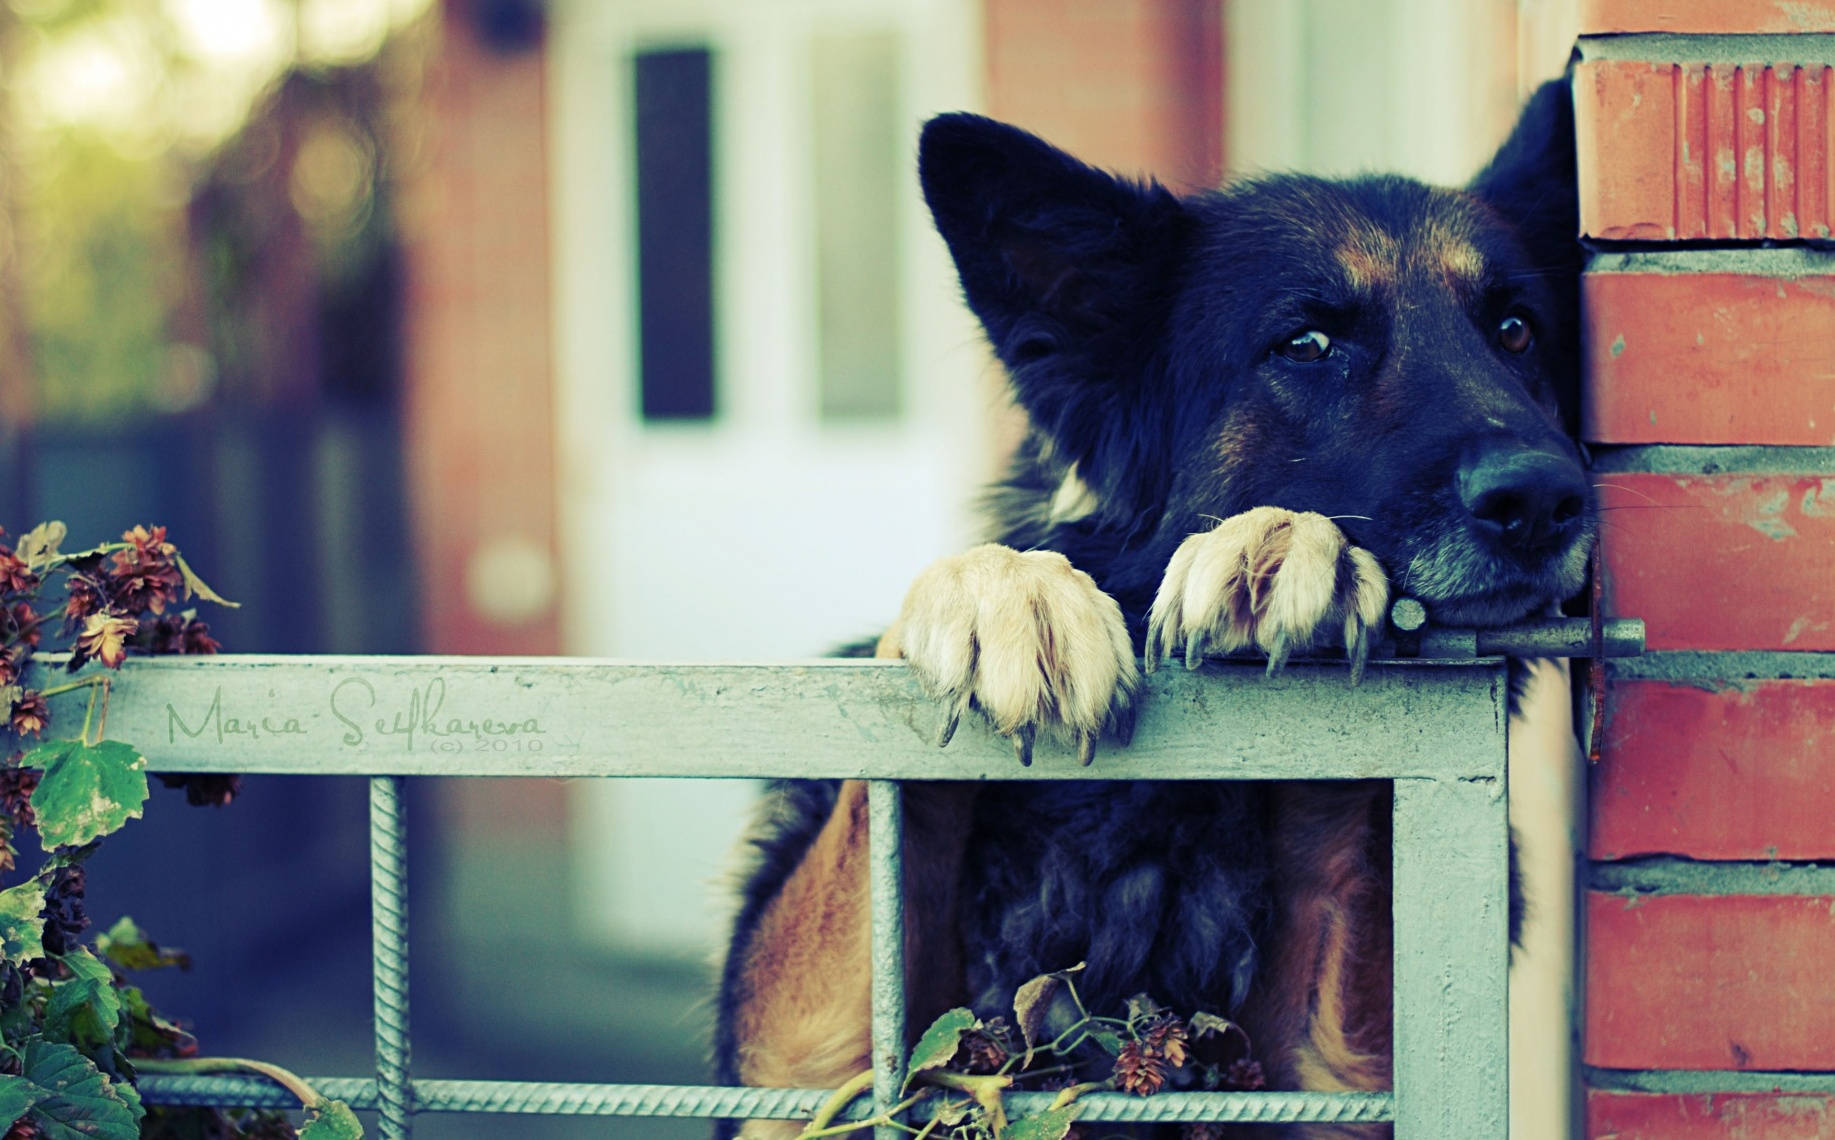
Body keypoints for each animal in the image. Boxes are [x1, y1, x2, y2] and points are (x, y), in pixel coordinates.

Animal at [711, 75, 1592, 1130]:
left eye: (1516, 330)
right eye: (1306, 342)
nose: (1544, 497)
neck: (1154, 815)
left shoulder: (1344, 1077)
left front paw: (1292, 551)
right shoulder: (807, 1069)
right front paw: (1002, 591)